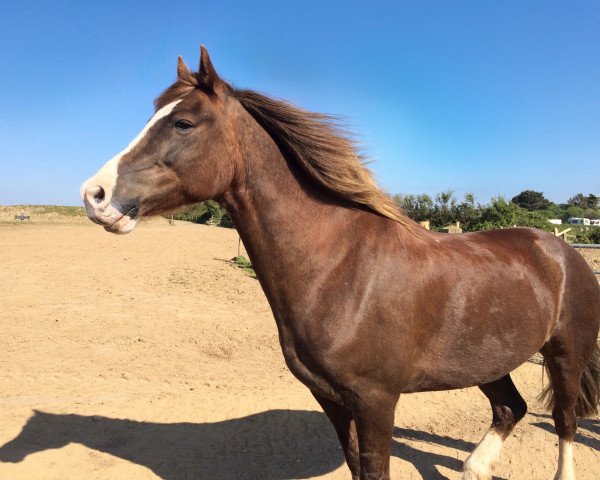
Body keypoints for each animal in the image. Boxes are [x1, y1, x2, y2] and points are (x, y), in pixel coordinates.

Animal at [81, 46, 600, 480]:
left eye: (184, 123)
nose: (95, 195)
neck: (341, 270)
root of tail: (560, 249)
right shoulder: (331, 399)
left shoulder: (376, 402)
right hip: (490, 359)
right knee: (510, 409)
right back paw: (475, 467)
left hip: (564, 353)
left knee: (565, 421)